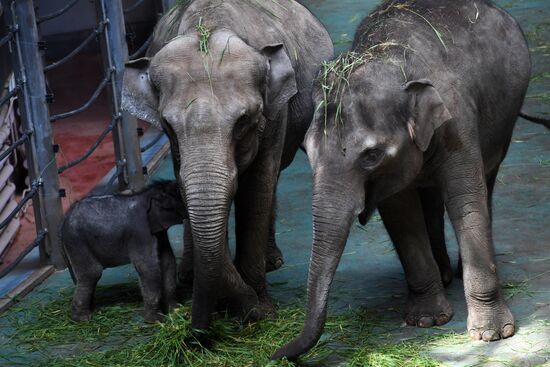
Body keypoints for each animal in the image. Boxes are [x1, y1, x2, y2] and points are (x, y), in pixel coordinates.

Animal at [62, 180, 188, 322]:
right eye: (180, 194)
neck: (147, 194)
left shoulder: (159, 233)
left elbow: (168, 261)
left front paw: (177, 310)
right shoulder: (140, 232)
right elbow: (148, 267)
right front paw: (157, 320)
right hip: (77, 242)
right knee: (92, 273)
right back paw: (82, 319)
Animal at [121, 0, 332, 330]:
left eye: (244, 119)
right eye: (167, 123)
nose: (194, 326)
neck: (208, 26)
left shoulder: (276, 113)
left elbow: (256, 187)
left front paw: (261, 311)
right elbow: (187, 182)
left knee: (273, 180)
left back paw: (272, 262)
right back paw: (189, 275)